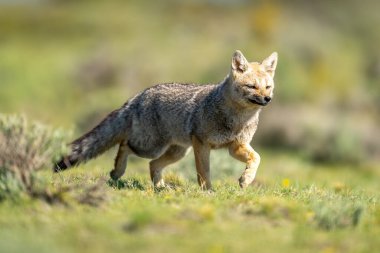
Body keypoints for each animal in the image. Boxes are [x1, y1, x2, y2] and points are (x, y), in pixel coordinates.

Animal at [53, 50, 278, 189]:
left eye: (268, 87)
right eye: (252, 87)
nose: (267, 99)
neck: (237, 119)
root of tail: (139, 95)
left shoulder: (235, 146)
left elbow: (257, 158)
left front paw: (246, 179)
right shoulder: (201, 143)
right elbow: (204, 172)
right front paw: (207, 191)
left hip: (176, 151)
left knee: (153, 165)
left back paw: (160, 187)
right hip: (151, 146)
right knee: (125, 144)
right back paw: (118, 171)